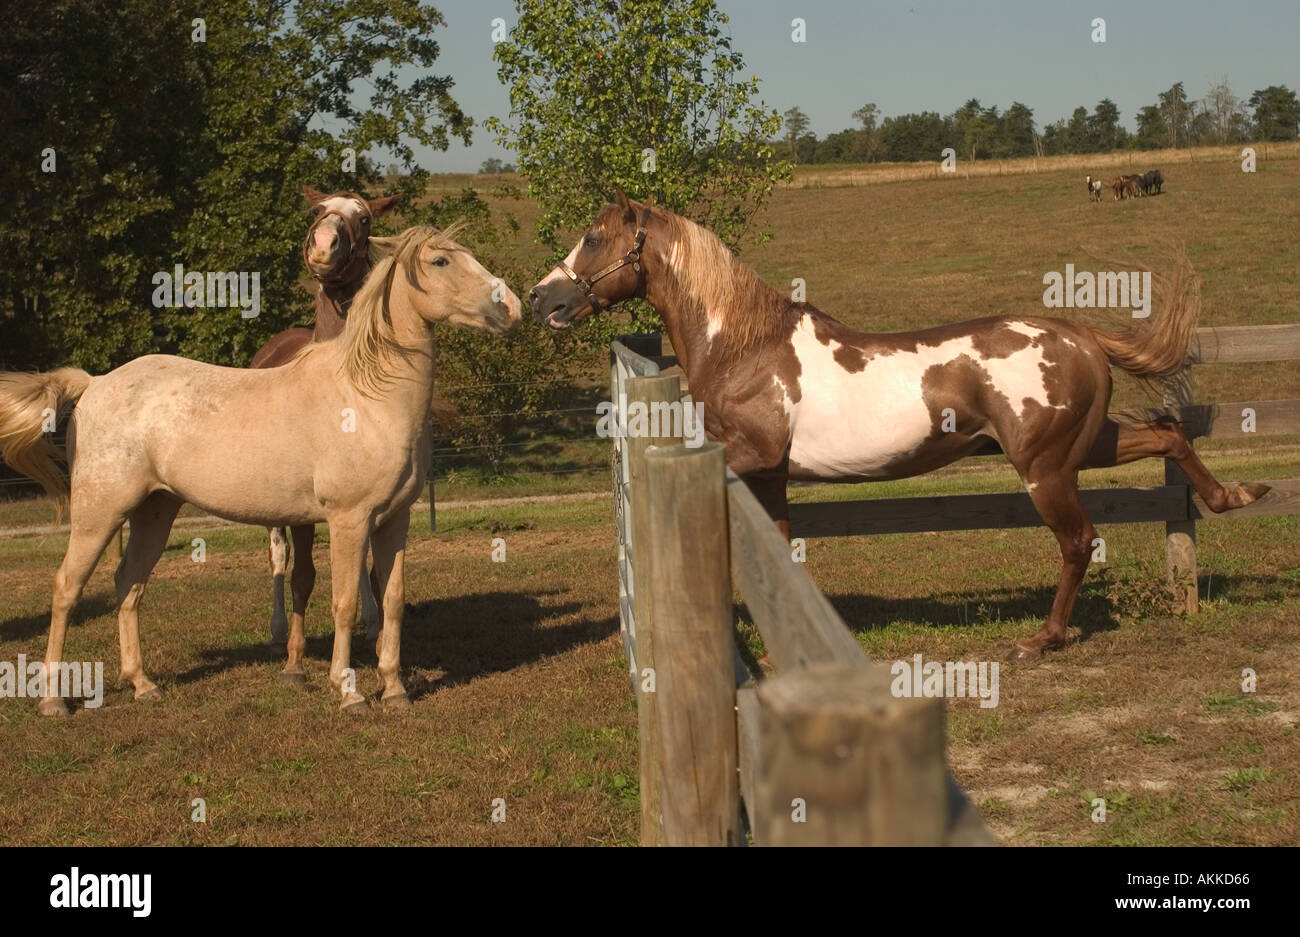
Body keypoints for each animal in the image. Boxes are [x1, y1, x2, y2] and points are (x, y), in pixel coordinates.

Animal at [1, 226, 517, 717]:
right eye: (441, 260)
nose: (509, 305)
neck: (367, 396)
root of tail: (95, 384)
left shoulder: (394, 520)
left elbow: (391, 600)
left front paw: (394, 689)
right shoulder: (348, 520)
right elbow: (346, 603)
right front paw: (348, 691)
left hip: (155, 511)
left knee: (129, 585)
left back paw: (143, 685)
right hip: (100, 513)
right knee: (67, 589)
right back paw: (53, 699)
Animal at [527, 191, 1268, 657]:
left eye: (594, 238)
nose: (540, 298)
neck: (743, 347)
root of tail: (1080, 335)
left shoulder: (748, 456)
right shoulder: (772, 476)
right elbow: (781, 549)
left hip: (1046, 467)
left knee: (1079, 541)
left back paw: (1042, 638)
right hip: (1088, 445)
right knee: (1168, 432)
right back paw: (1236, 494)